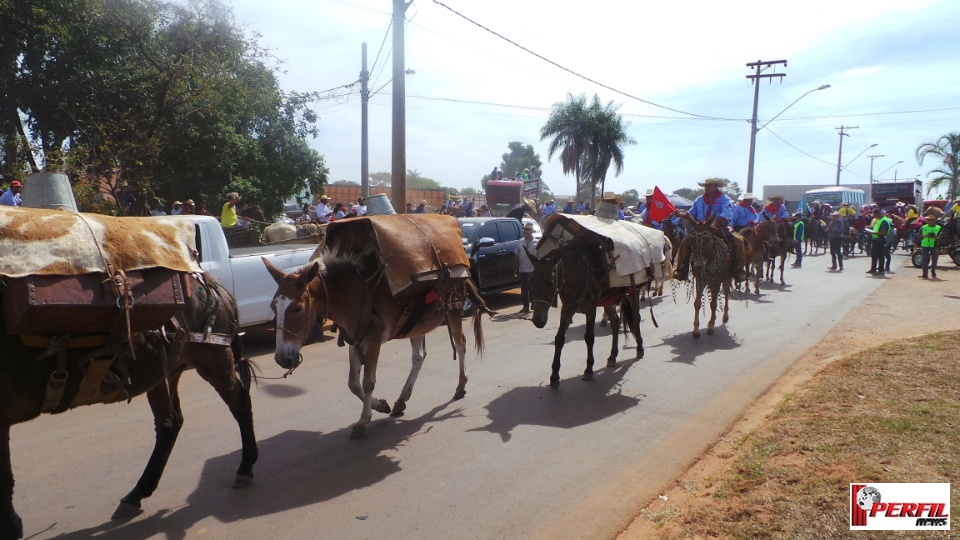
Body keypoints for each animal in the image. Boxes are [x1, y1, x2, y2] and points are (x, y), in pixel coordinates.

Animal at [0, 274, 256, 540]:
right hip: (164, 371)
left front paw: (10, 528)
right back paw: (136, 495)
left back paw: (245, 467)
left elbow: (4, 480)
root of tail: (210, 281)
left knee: (240, 404)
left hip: (212, 357)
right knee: (169, 424)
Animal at [524, 242, 644, 388]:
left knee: (636, 317)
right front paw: (554, 376)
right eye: (530, 282)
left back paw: (640, 348)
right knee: (615, 322)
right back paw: (612, 356)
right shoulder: (567, 310)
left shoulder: (590, 309)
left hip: (633, 291)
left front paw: (588, 370)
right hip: (608, 300)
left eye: (550, 283)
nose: (538, 321)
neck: (576, 275)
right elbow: (559, 339)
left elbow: (589, 338)